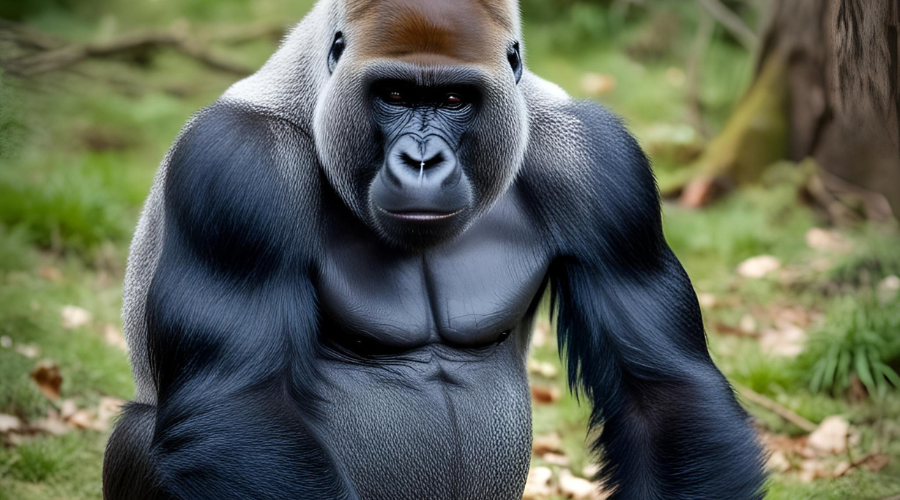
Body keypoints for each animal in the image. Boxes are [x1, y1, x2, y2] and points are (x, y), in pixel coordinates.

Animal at [102, 0, 767, 499]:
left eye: (452, 100)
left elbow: (664, 390)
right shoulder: (236, 164)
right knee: (143, 432)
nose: (422, 161)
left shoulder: (599, 161)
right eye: (394, 94)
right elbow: (240, 406)